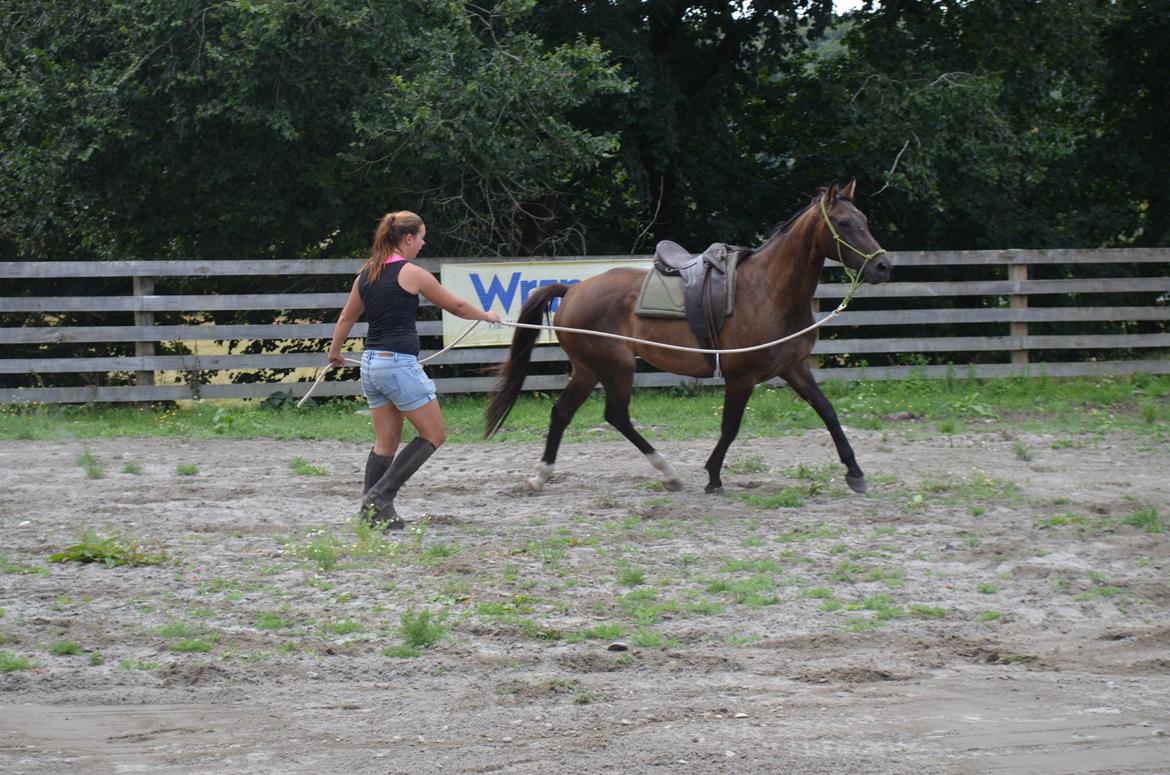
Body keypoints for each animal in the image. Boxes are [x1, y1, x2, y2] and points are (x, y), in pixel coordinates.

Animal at [485, 180, 893, 496]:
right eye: (844, 223)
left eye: (865, 221)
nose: (883, 266)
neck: (768, 291)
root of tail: (572, 291)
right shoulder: (741, 377)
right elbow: (730, 427)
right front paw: (713, 477)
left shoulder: (795, 368)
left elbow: (827, 411)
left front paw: (855, 472)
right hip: (613, 367)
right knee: (616, 415)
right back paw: (665, 472)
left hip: (588, 369)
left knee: (564, 412)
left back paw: (542, 477)